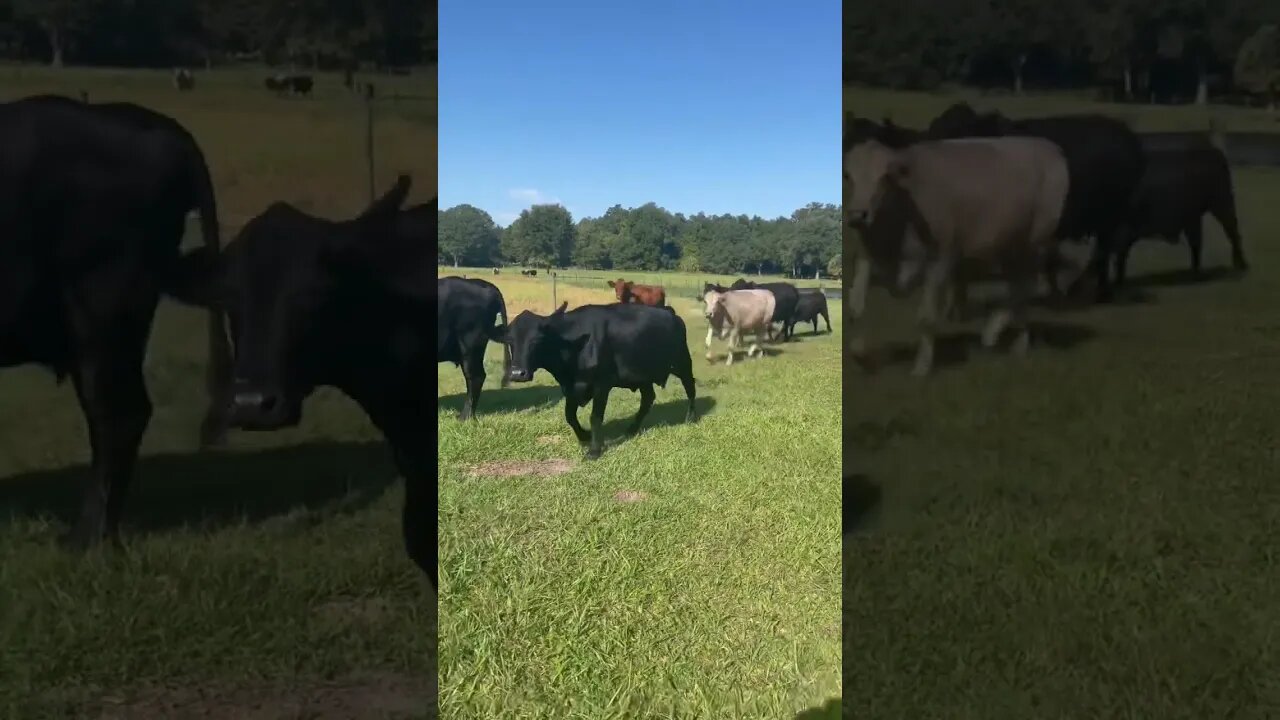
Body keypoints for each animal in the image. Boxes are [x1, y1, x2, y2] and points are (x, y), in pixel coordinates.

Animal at [501, 299, 701, 456]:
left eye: (537, 339)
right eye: (510, 341)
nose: (517, 374)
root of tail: (670, 312)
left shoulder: (601, 385)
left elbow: (595, 417)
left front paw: (594, 450)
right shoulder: (571, 387)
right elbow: (569, 416)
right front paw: (584, 436)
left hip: (682, 362)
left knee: (690, 387)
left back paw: (691, 417)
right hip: (643, 376)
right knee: (648, 399)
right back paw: (632, 429)